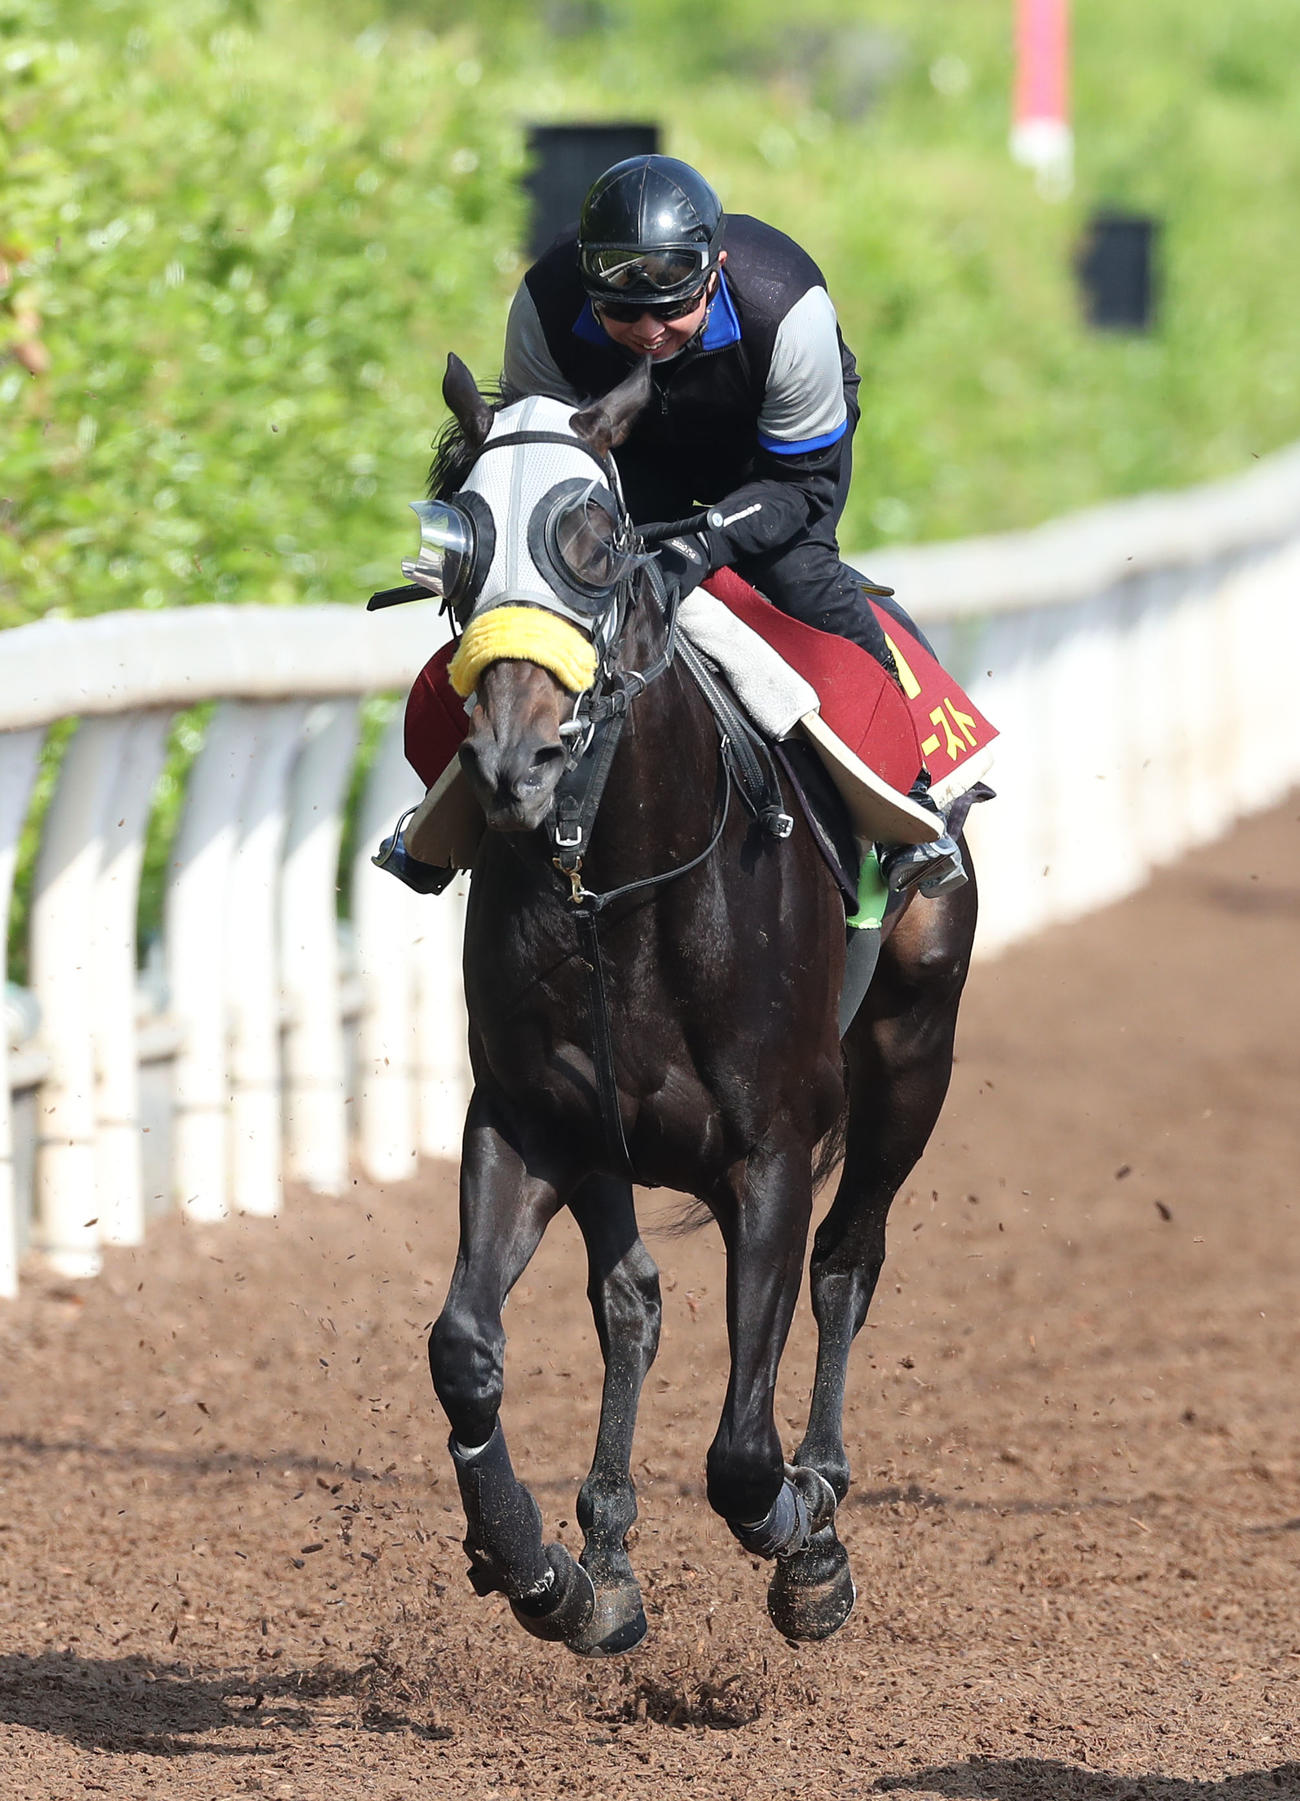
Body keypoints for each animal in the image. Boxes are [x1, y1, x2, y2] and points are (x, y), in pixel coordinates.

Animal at [420, 351, 979, 1656]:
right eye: (458, 538)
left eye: (595, 537)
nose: (514, 762)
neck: (620, 884)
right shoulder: (531, 1117)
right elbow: (468, 1346)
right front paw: (534, 1561)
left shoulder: (768, 1150)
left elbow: (740, 1453)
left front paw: (805, 1540)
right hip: (612, 1145)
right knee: (629, 1297)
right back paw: (604, 1556)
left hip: (911, 1049)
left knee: (848, 1259)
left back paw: (820, 1485)